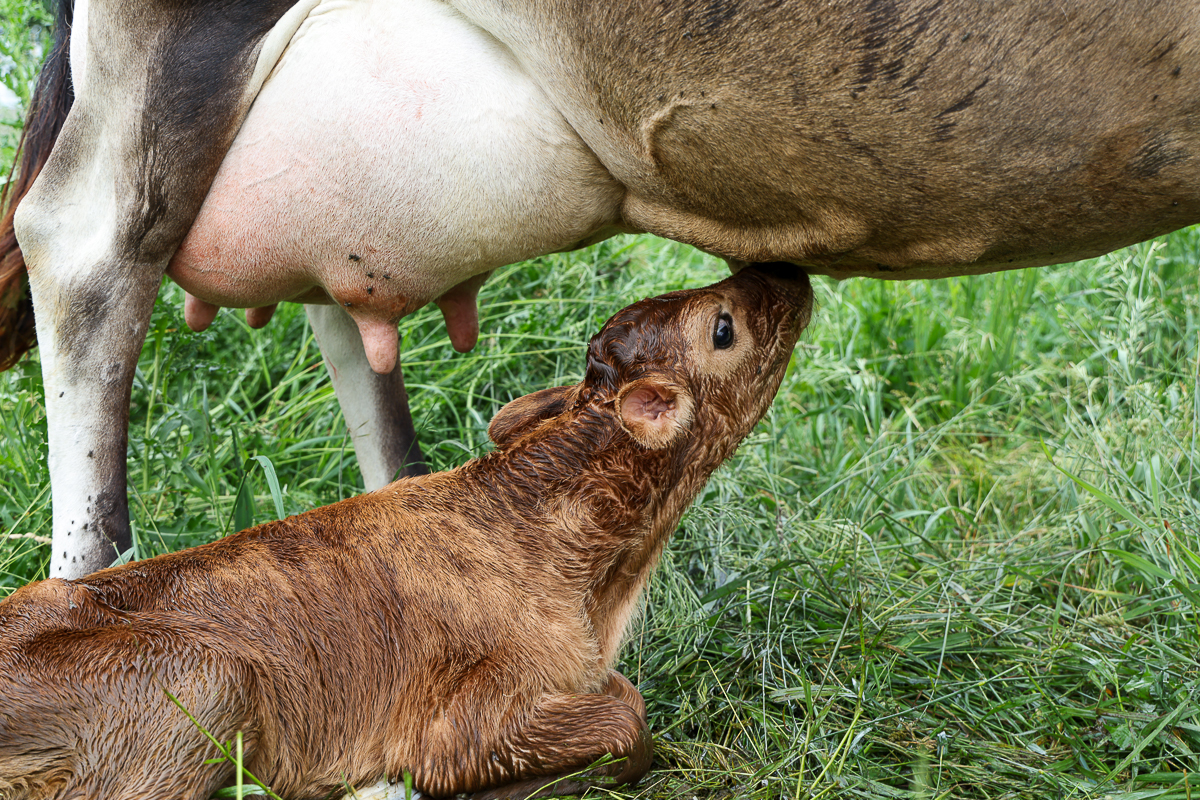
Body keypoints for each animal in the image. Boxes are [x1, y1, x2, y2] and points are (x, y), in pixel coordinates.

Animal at [0, 266, 813, 800]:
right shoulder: (458, 722)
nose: (784, 269)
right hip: (205, 685)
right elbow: (626, 712)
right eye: (723, 328)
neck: (595, 582)